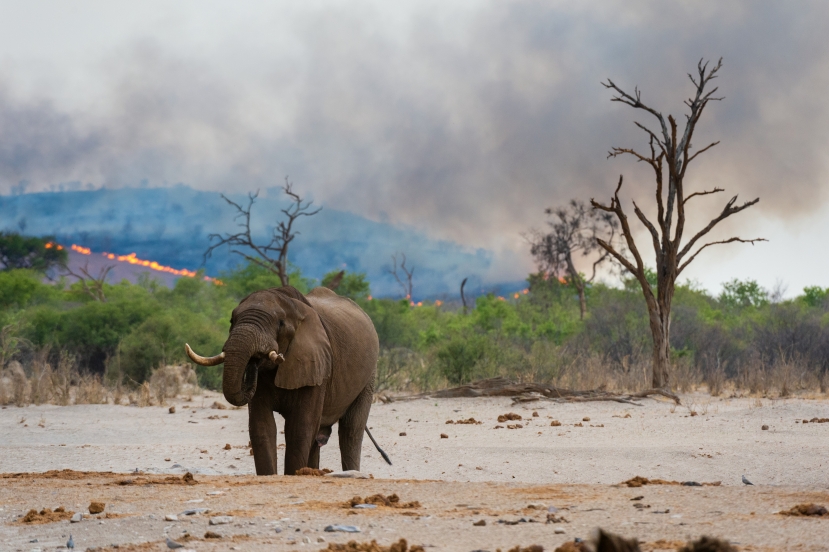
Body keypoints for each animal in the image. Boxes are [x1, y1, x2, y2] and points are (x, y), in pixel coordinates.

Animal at [184, 284, 388, 474]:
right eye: (231, 320)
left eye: (280, 324)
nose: (254, 361)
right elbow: (262, 426)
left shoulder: (317, 365)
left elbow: (299, 428)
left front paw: (293, 474)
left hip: (369, 376)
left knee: (351, 430)